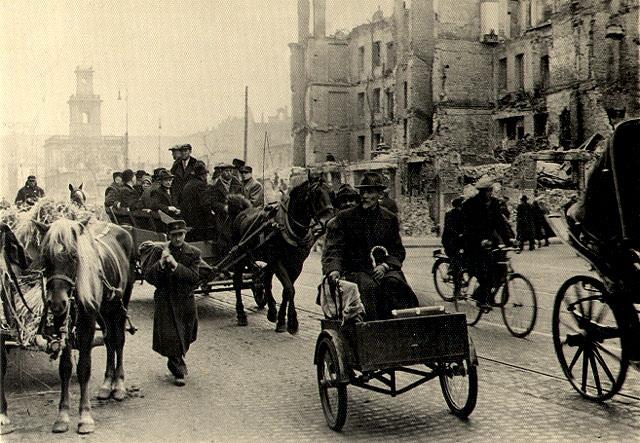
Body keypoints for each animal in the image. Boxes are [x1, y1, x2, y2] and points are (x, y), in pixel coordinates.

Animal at [40, 220, 135, 436]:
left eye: (74, 256)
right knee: (109, 341)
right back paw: (107, 384)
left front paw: (85, 417)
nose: (57, 303)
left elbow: (84, 368)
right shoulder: (63, 324)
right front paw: (62, 416)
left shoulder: (87, 325)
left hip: (120, 305)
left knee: (119, 340)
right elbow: (65, 368)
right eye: (46, 257)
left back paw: (118, 385)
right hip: (105, 311)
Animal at [232, 175, 338, 334]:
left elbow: (287, 291)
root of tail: (242, 212)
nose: (329, 221)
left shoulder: (296, 264)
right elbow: (289, 289)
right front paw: (292, 322)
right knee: (238, 282)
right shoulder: (277, 261)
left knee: (266, 280)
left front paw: (283, 320)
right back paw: (241, 314)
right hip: (240, 256)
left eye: (331, 193)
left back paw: (271, 311)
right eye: (316, 194)